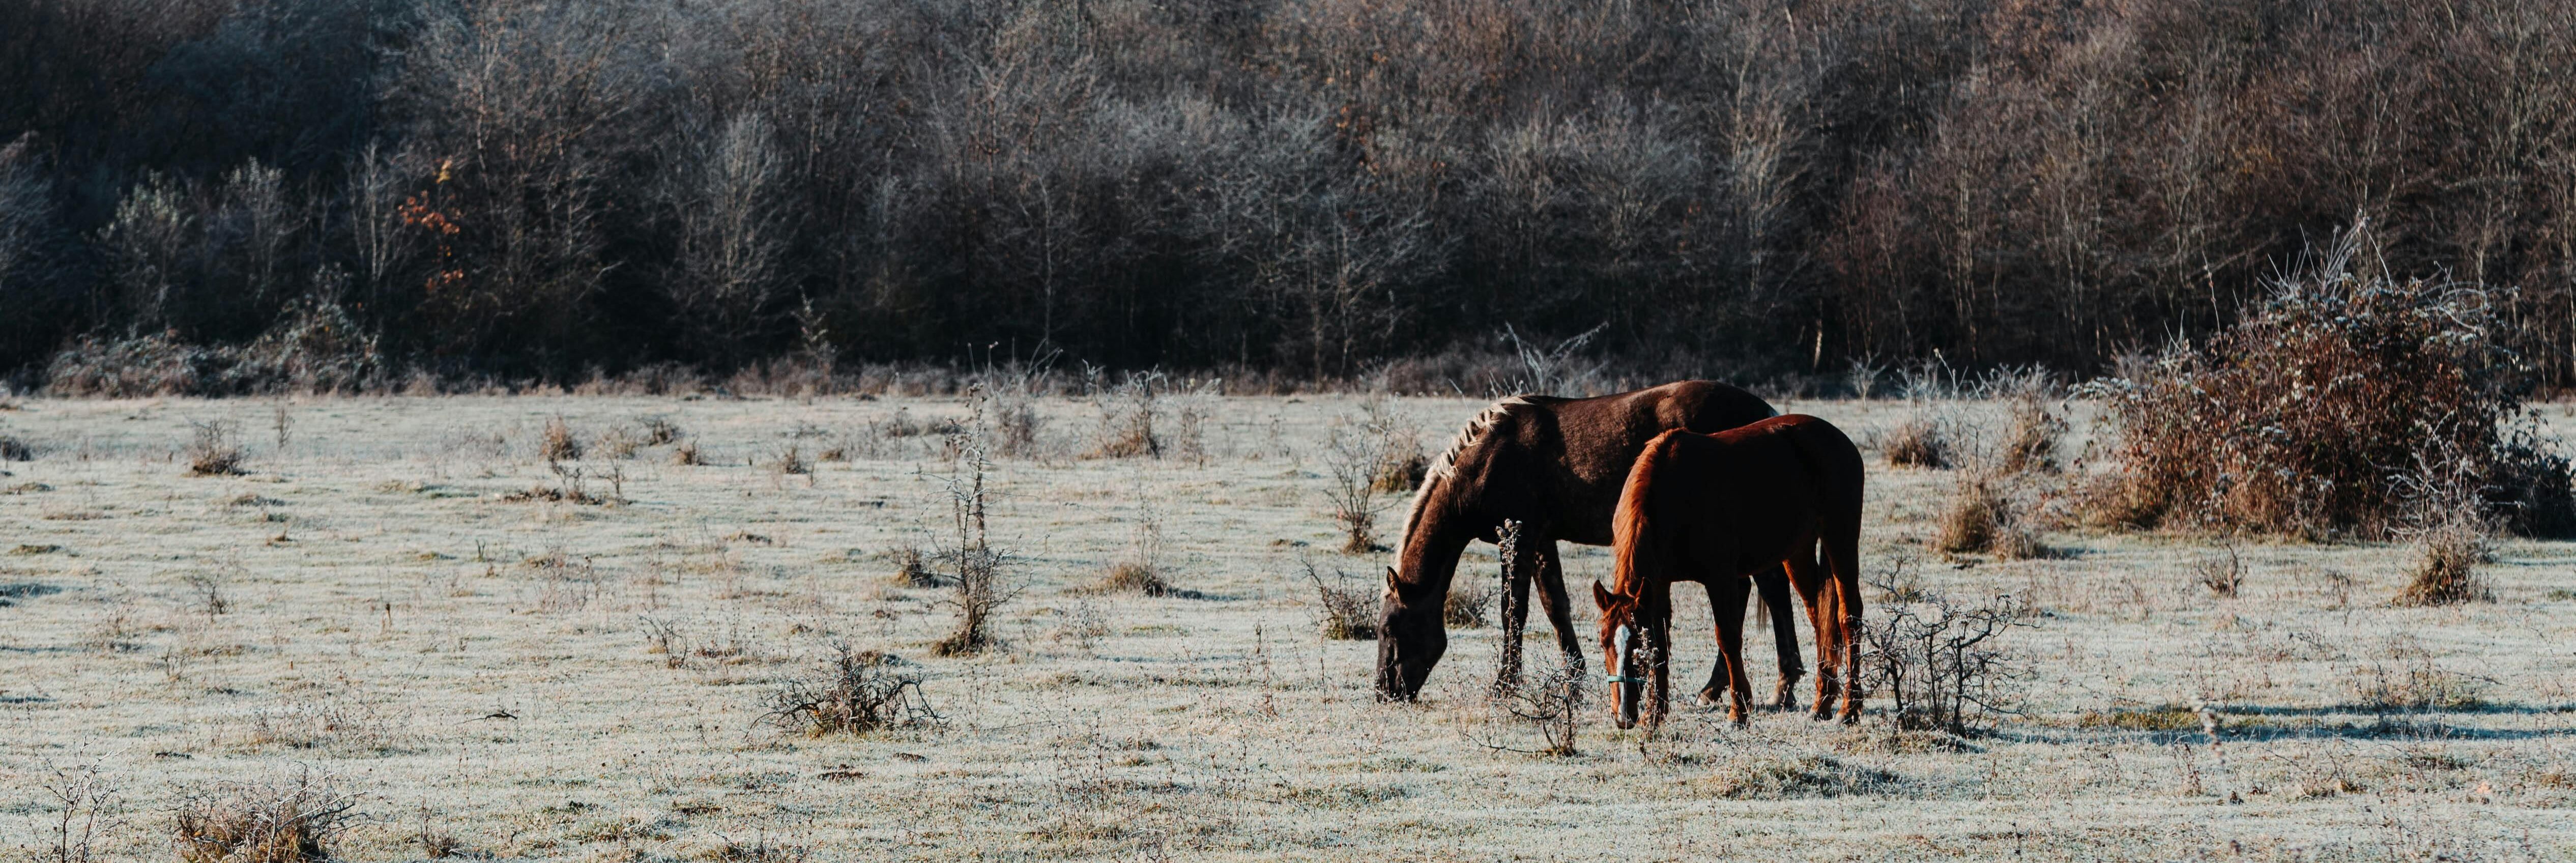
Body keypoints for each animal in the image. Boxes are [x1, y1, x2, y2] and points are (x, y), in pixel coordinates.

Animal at [1380, 381, 1803, 706]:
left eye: (1388, 629)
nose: (1384, 691)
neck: (1489, 455)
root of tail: (1766, 413)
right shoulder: (1542, 541)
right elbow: (1555, 608)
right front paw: (1574, 678)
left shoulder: (1518, 539)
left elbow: (1512, 611)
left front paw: (1504, 685)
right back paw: (1726, 688)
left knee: (1771, 592)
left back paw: (1776, 687)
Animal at [1586, 415, 1855, 731]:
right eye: (1604, 641)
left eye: (1638, 645)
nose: (1622, 715)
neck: (1671, 494)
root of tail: (1839, 440)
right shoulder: (1659, 584)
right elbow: (1663, 643)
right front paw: (1655, 714)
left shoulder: (1720, 578)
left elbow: (1727, 638)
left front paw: (1739, 711)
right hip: (1797, 553)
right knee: (1820, 620)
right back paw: (1822, 703)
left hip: (1840, 541)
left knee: (1849, 618)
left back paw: (1849, 708)